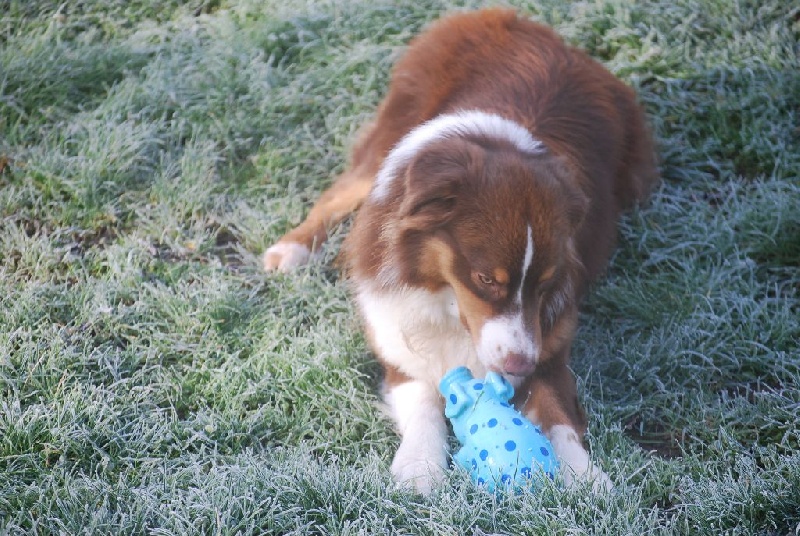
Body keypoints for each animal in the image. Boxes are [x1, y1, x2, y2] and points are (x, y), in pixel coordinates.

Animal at [262, 8, 656, 494]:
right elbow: (423, 402)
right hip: (387, 141)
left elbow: (558, 416)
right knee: (339, 191)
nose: (520, 362)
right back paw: (291, 249)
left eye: (546, 284)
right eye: (486, 279)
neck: (448, 304)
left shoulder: (549, 350)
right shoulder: (399, 344)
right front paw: (419, 466)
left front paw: (586, 478)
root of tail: (505, 17)